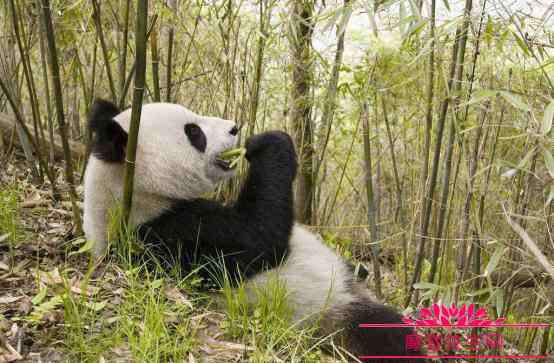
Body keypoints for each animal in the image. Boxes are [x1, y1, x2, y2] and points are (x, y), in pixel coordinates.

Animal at [84, 98, 416, 360]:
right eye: (194, 132)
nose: (235, 128)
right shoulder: (171, 234)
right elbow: (260, 238)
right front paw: (268, 142)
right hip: (324, 312)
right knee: (383, 334)